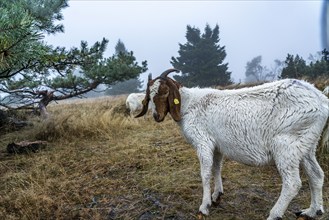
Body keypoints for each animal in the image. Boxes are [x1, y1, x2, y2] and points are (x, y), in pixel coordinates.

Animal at [136, 69, 328, 220]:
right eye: (150, 95)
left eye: (165, 91)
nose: (157, 116)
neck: (189, 105)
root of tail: (321, 100)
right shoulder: (217, 146)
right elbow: (216, 168)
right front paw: (217, 195)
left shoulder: (203, 142)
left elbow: (205, 174)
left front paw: (204, 207)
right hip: (306, 144)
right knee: (316, 175)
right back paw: (312, 211)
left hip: (286, 146)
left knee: (293, 183)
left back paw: (274, 214)